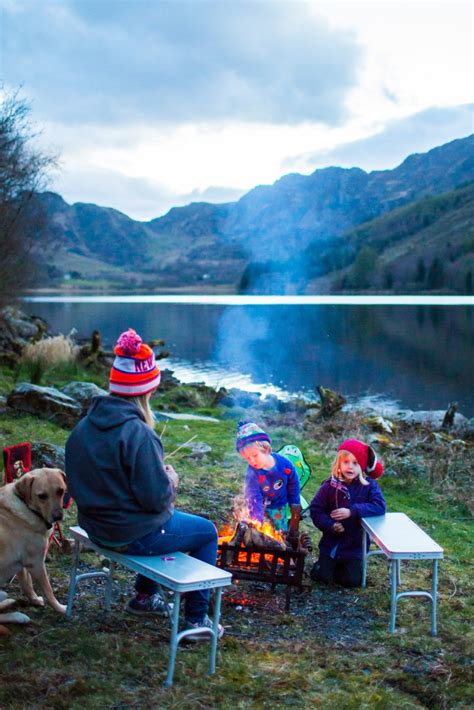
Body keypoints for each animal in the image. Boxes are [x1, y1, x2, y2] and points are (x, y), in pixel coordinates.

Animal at [0, 472, 67, 636]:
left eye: (61, 491)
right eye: (42, 496)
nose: (58, 516)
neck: (27, 508)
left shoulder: (23, 564)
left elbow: (28, 585)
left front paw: (35, 600)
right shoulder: (36, 563)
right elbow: (48, 591)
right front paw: (61, 608)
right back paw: (18, 616)